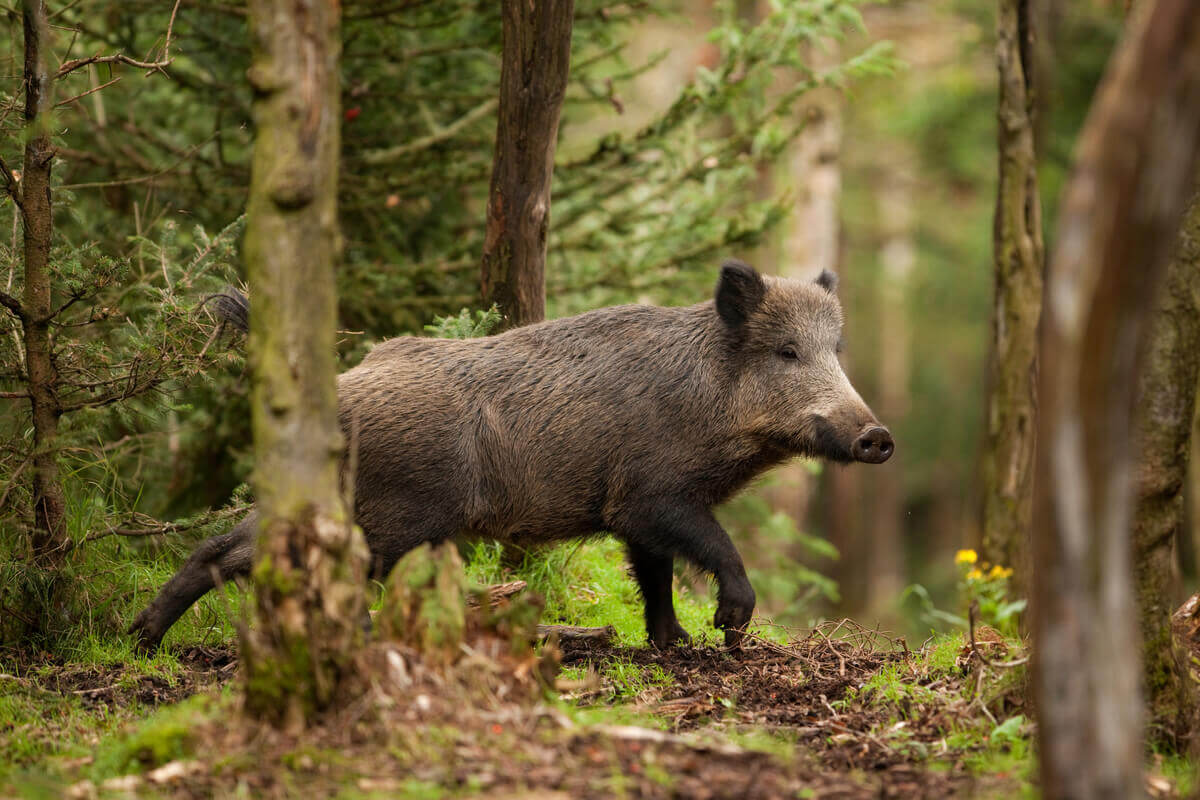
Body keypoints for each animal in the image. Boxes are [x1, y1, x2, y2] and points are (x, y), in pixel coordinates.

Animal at [129, 261, 893, 651]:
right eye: (786, 352)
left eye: (835, 349)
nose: (878, 437)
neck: (710, 400)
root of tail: (344, 387)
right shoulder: (653, 494)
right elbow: (710, 549)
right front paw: (729, 628)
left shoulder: (633, 513)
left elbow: (654, 577)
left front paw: (673, 645)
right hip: (396, 516)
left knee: (221, 548)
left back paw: (139, 639)